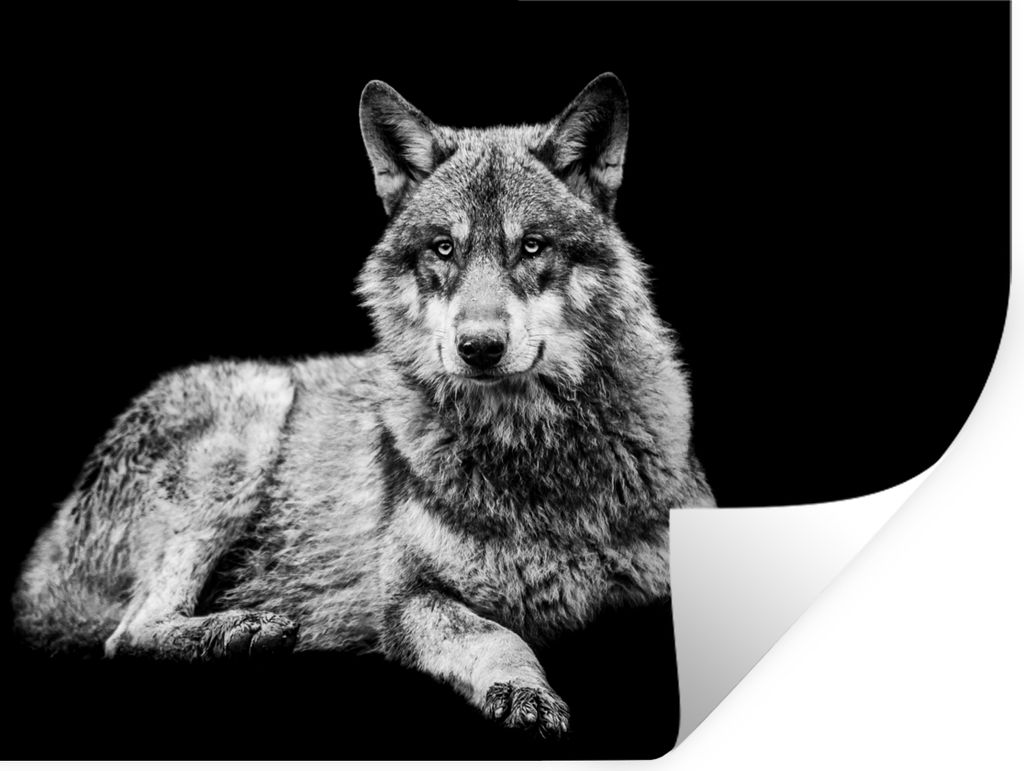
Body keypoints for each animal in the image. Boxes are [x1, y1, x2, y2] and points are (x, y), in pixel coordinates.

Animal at [13, 73, 714, 736]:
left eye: (533, 246)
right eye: (444, 248)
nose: (479, 347)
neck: (536, 452)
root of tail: (47, 552)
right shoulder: (406, 598)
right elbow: (496, 636)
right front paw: (524, 693)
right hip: (253, 414)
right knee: (126, 634)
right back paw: (240, 631)